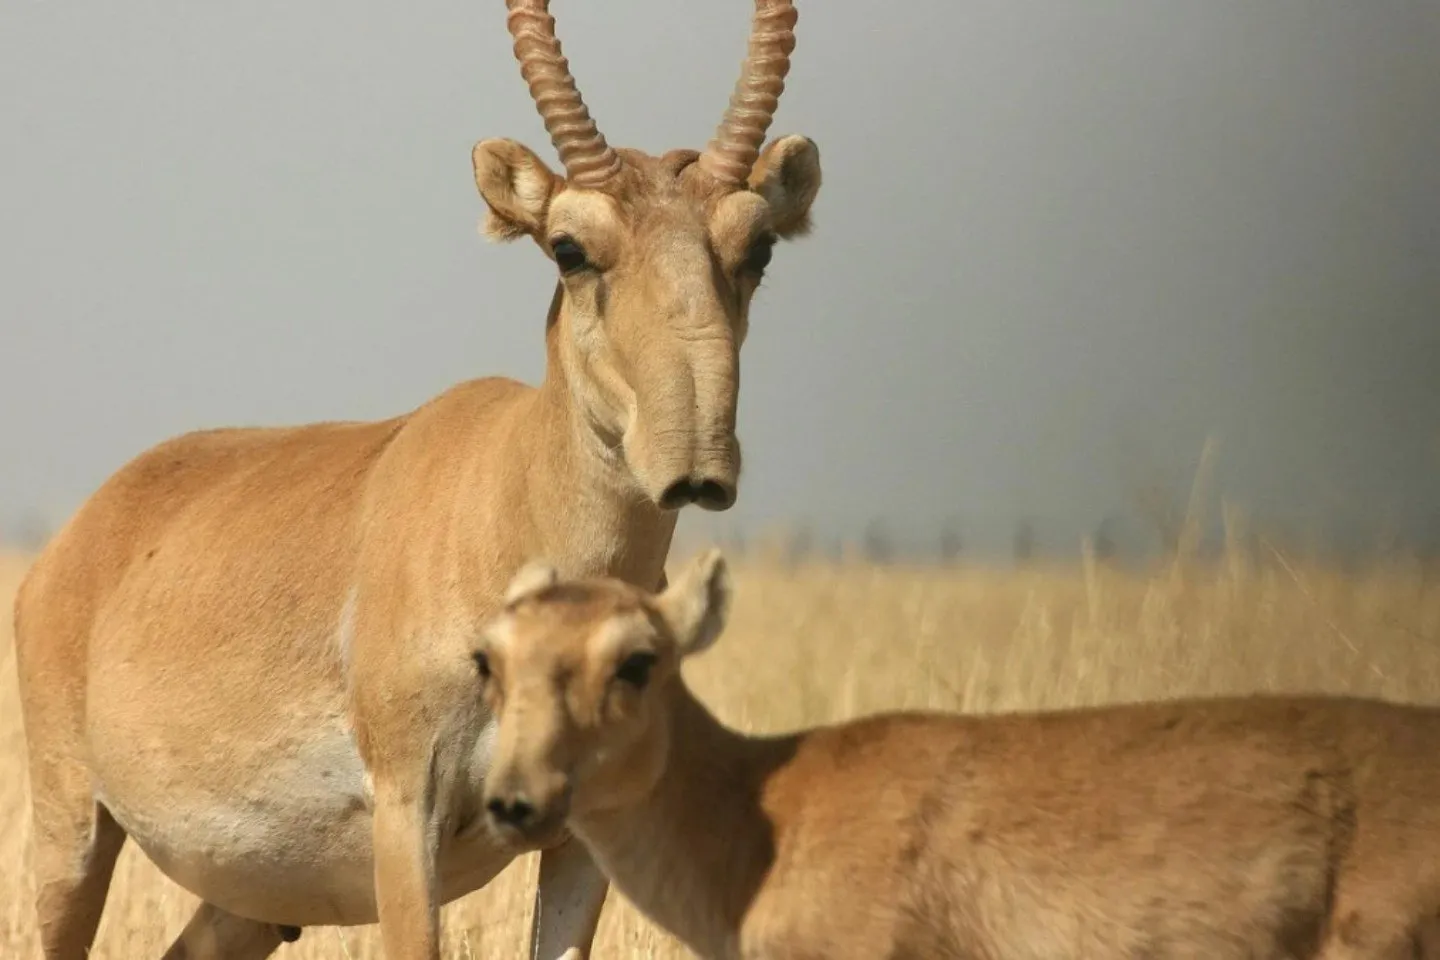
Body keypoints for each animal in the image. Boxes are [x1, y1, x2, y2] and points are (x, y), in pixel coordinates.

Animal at [11, 3, 829, 955]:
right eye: (569, 247)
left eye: (758, 247)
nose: (694, 459)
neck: (506, 492)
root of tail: (79, 537)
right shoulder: (409, 818)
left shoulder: (580, 840)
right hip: (73, 836)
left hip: (248, 904)